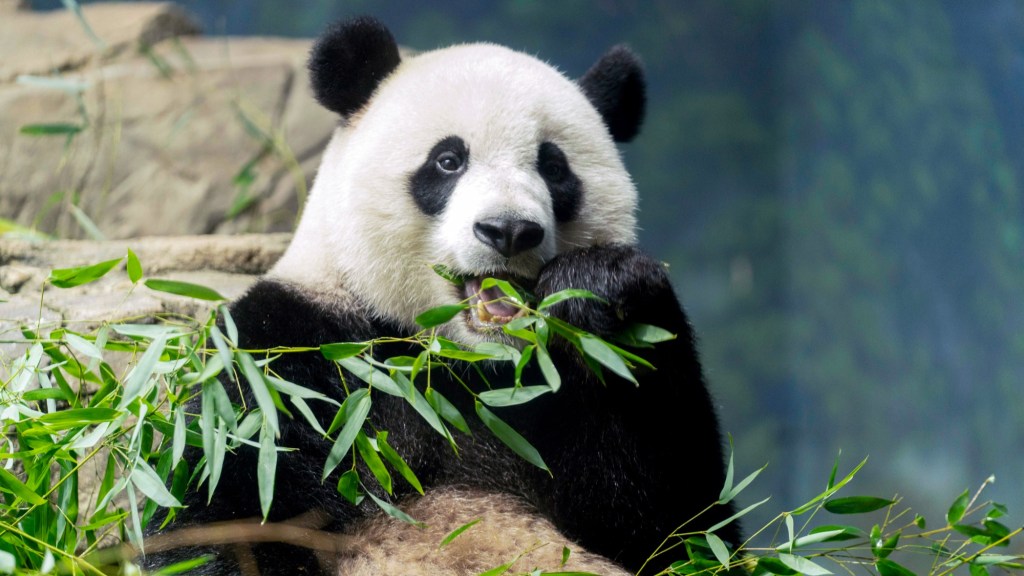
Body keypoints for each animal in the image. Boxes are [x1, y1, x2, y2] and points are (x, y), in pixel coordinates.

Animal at [144, 16, 737, 576]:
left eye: (553, 166)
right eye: (448, 161)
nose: (509, 230)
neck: (455, 356)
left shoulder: (555, 397)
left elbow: (679, 524)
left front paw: (600, 285)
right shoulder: (285, 355)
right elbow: (222, 502)